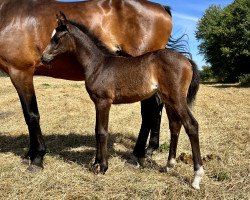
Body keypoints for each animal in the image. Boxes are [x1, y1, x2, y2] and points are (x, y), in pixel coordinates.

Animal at [0, 0, 172, 169]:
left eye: (57, 39)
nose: (44, 58)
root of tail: (163, 7)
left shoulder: (21, 71)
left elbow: (31, 115)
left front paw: (37, 158)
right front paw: (30, 154)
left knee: (149, 111)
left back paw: (136, 156)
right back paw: (149, 150)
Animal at [41, 13, 203, 189]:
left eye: (57, 38)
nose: (43, 58)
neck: (98, 65)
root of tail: (187, 61)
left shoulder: (104, 102)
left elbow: (102, 132)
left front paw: (103, 167)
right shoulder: (97, 103)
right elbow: (97, 130)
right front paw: (96, 163)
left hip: (177, 98)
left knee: (191, 125)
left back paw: (196, 177)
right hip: (169, 99)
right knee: (175, 125)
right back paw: (169, 165)